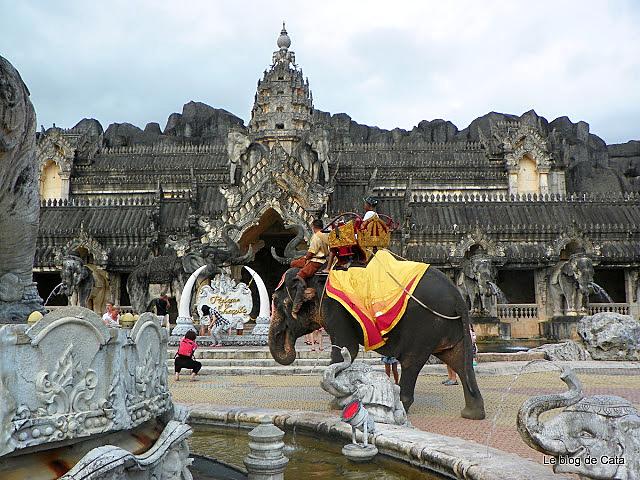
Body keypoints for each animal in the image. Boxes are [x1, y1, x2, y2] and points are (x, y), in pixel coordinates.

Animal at [270, 262, 484, 420]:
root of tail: (458, 297)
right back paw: (472, 414)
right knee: (458, 360)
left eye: (277, 302)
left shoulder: (336, 311)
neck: (317, 275)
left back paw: (401, 405)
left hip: (425, 326)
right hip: (448, 327)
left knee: (412, 362)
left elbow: (346, 350)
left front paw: (334, 405)